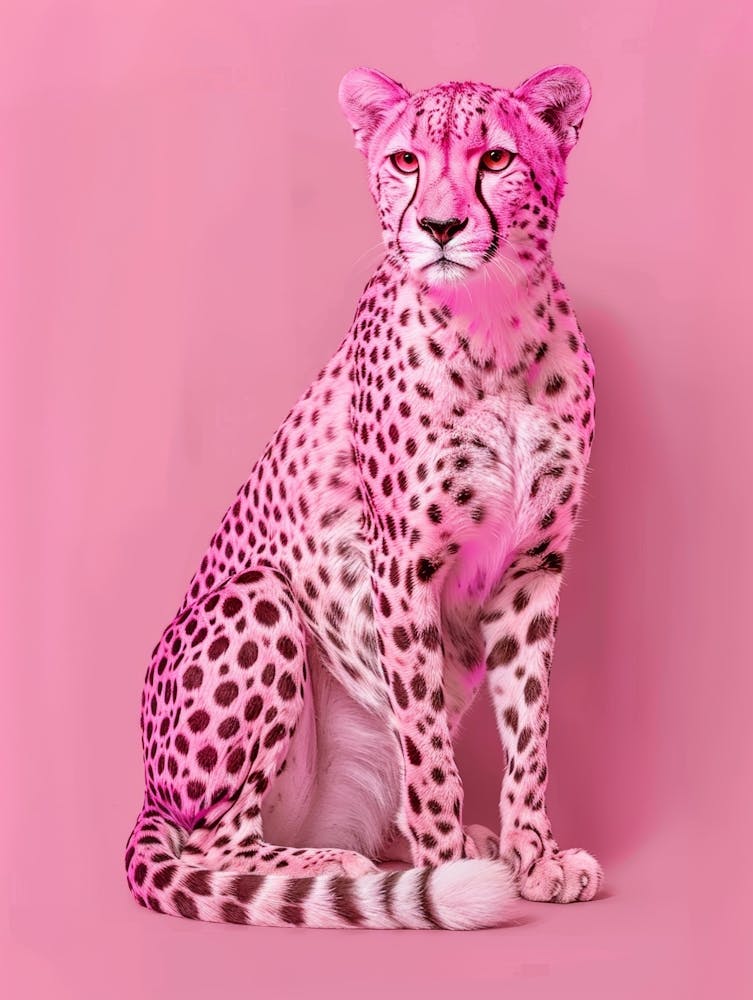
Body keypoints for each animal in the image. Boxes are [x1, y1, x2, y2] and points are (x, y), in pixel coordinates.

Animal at [125, 64, 602, 930]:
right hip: (258, 598)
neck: (496, 329)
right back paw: (332, 864)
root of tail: (148, 788)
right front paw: (444, 869)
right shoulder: (400, 565)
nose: (441, 227)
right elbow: (426, 745)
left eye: (495, 159)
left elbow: (531, 731)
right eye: (406, 160)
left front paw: (535, 857)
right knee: (213, 840)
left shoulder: (532, 571)